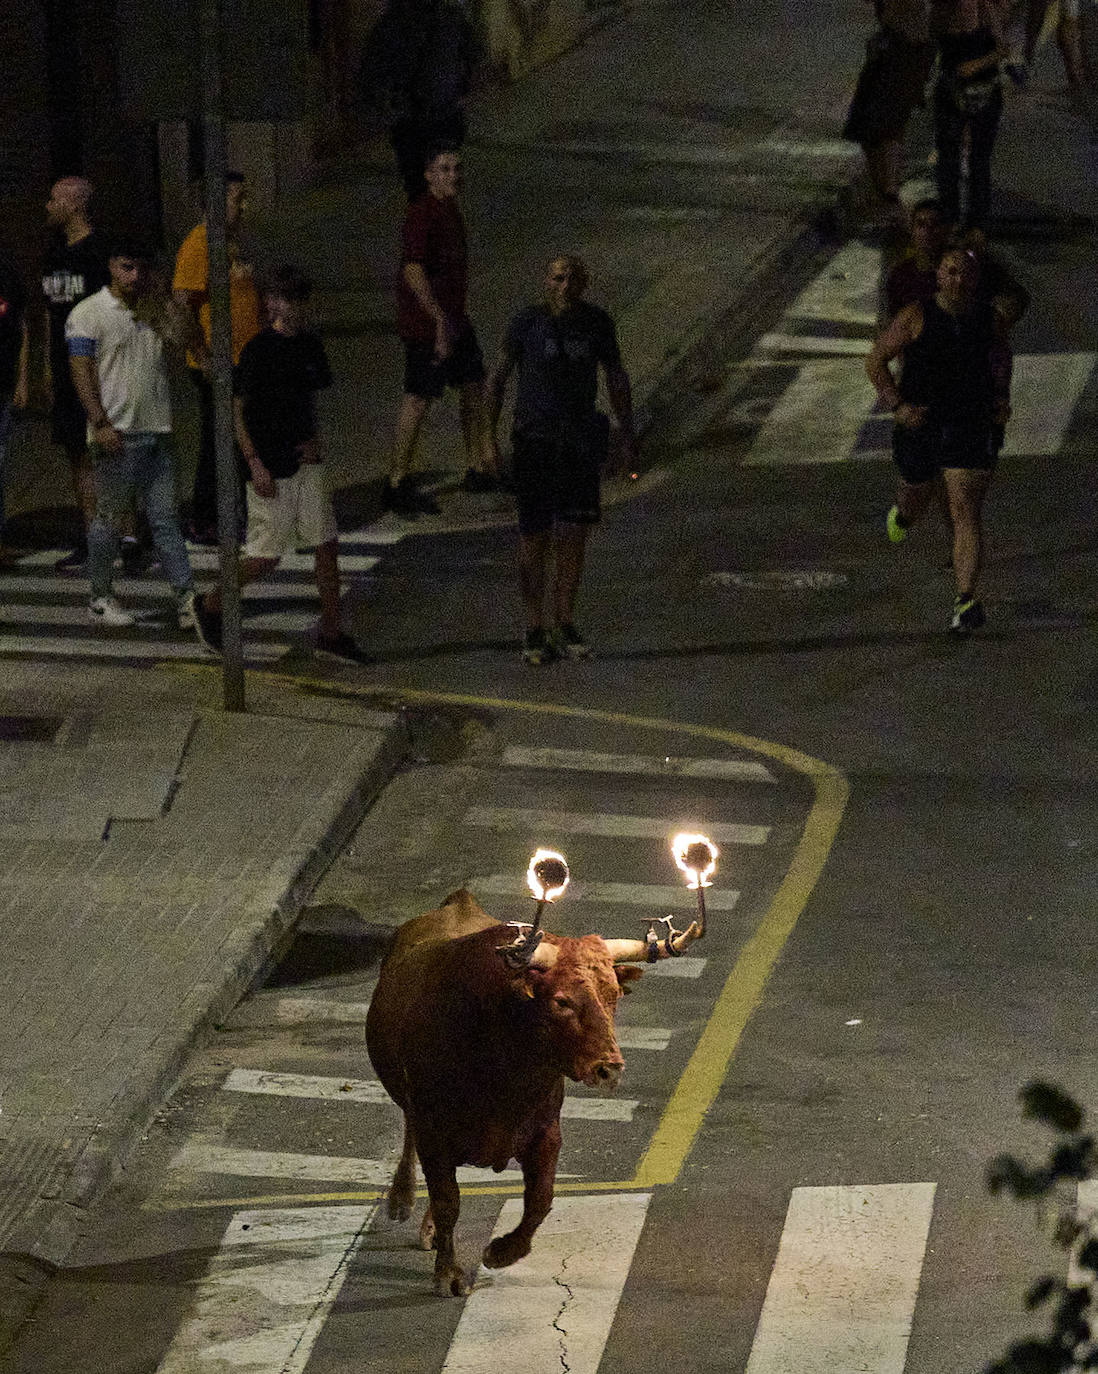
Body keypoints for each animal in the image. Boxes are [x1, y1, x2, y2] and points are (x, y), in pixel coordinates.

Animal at [365, 884, 700, 1291]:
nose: (609, 1068)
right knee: (410, 1135)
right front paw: (449, 1274)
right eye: (561, 1000)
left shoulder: (545, 1132)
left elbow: (540, 1199)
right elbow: (448, 1201)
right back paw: (402, 1200)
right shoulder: (434, 1131)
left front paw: (503, 1251)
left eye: (614, 995)